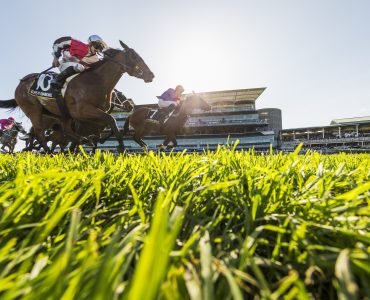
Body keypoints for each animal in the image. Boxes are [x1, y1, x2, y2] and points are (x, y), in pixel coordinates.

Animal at [0, 41, 154, 154]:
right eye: (134, 56)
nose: (150, 75)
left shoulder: (90, 118)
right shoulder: (81, 111)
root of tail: (21, 83)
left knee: (65, 132)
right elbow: (111, 119)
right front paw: (121, 147)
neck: (97, 80)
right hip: (34, 111)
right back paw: (49, 153)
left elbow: (109, 125)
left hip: (61, 114)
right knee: (40, 135)